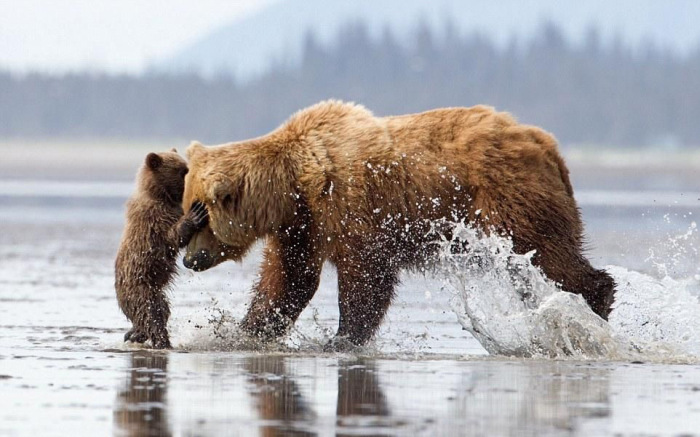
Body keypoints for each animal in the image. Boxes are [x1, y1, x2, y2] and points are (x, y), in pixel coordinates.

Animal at [179, 99, 612, 348]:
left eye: (199, 216)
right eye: (187, 209)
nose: (189, 260)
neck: (295, 186)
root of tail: (549, 145)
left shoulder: (350, 205)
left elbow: (366, 277)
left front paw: (341, 338)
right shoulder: (303, 226)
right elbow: (287, 281)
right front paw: (243, 330)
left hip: (507, 200)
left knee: (547, 255)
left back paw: (596, 302)